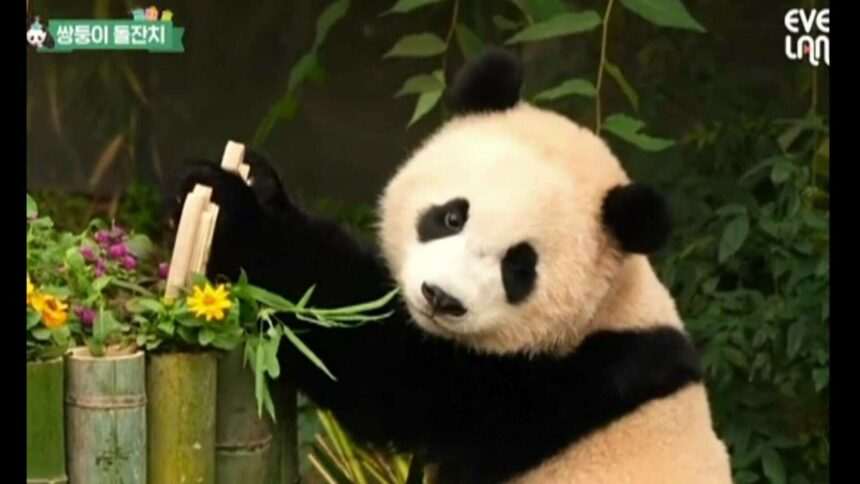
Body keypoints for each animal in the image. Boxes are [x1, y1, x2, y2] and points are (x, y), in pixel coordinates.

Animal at [173, 48, 733, 484]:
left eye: (520, 267)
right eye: (451, 216)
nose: (441, 298)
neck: (609, 309)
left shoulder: (545, 391)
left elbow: (383, 366)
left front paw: (232, 211)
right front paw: (257, 180)